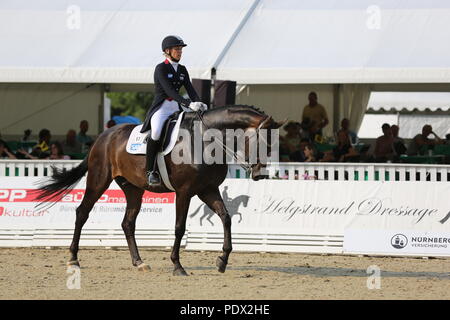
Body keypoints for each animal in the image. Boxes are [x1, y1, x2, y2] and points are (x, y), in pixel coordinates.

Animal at [35, 105, 284, 276]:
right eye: (263, 142)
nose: (260, 174)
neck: (204, 140)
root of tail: (103, 137)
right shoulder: (184, 192)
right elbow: (179, 228)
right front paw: (177, 265)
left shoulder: (208, 189)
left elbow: (226, 217)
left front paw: (222, 260)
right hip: (98, 180)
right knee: (82, 213)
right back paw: (73, 259)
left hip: (133, 189)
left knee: (128, 223)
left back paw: (139, 262)